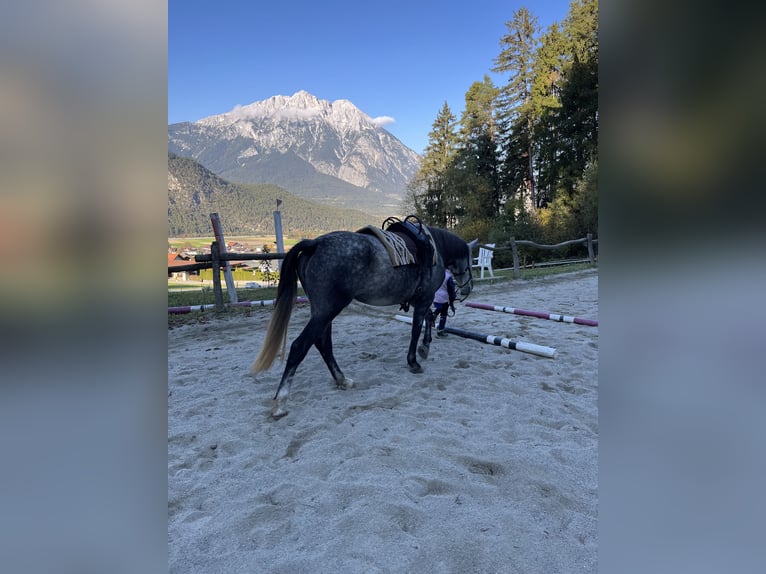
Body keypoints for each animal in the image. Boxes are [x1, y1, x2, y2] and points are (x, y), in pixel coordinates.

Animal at [252, 220, 476, 418]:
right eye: (469, 258)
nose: (467, 288)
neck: (433, 247)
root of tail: (314, 244)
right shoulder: (423, 299)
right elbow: (416, 329)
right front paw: (414, 361)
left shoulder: (418, 299)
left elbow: (429, 319)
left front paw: (425, 347)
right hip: (327, 311)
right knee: (300, 346)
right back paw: (281, 402)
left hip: (323, 312)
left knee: (323, 343)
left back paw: (342, 380)